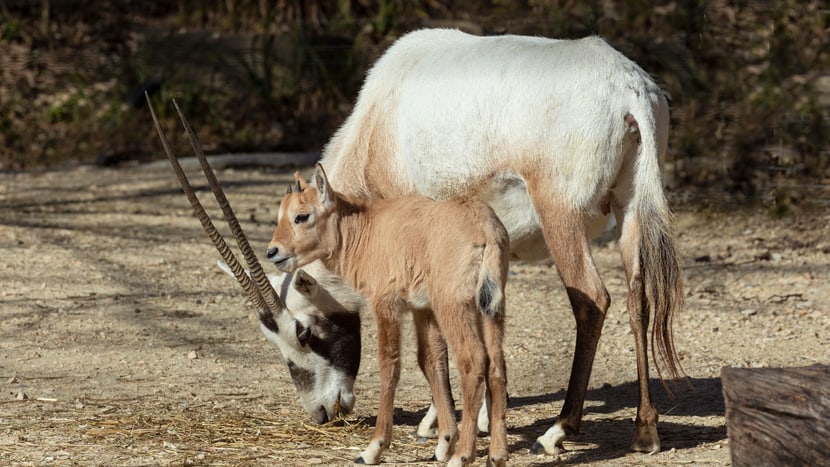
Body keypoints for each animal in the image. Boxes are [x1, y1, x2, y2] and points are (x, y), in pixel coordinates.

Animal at [270, 163, 510, 466]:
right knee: (497, 365)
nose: (273, 251)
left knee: (474, 360)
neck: (368, 227)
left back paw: (462, 455)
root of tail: (485, 230)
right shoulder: (422, 309)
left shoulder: (386, 306)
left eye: (301, 215)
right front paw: (444, 441)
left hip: (454, 307)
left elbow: (389, 365)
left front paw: (374, 448)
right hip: (490, 310)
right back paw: (497, 454)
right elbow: (431, 361)